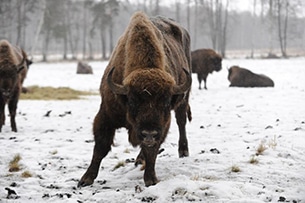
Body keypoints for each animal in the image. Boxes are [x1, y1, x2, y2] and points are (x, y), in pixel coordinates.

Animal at [77, 11, 191, 188]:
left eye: (166, 102)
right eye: (132, 101)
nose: (149, 133)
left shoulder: (162, 125)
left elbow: (152, 151)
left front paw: (151, 179)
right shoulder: (105, 115)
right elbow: (100, 147)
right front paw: (86, 179)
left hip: (183, 100)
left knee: (181, 121)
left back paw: (183, 151)